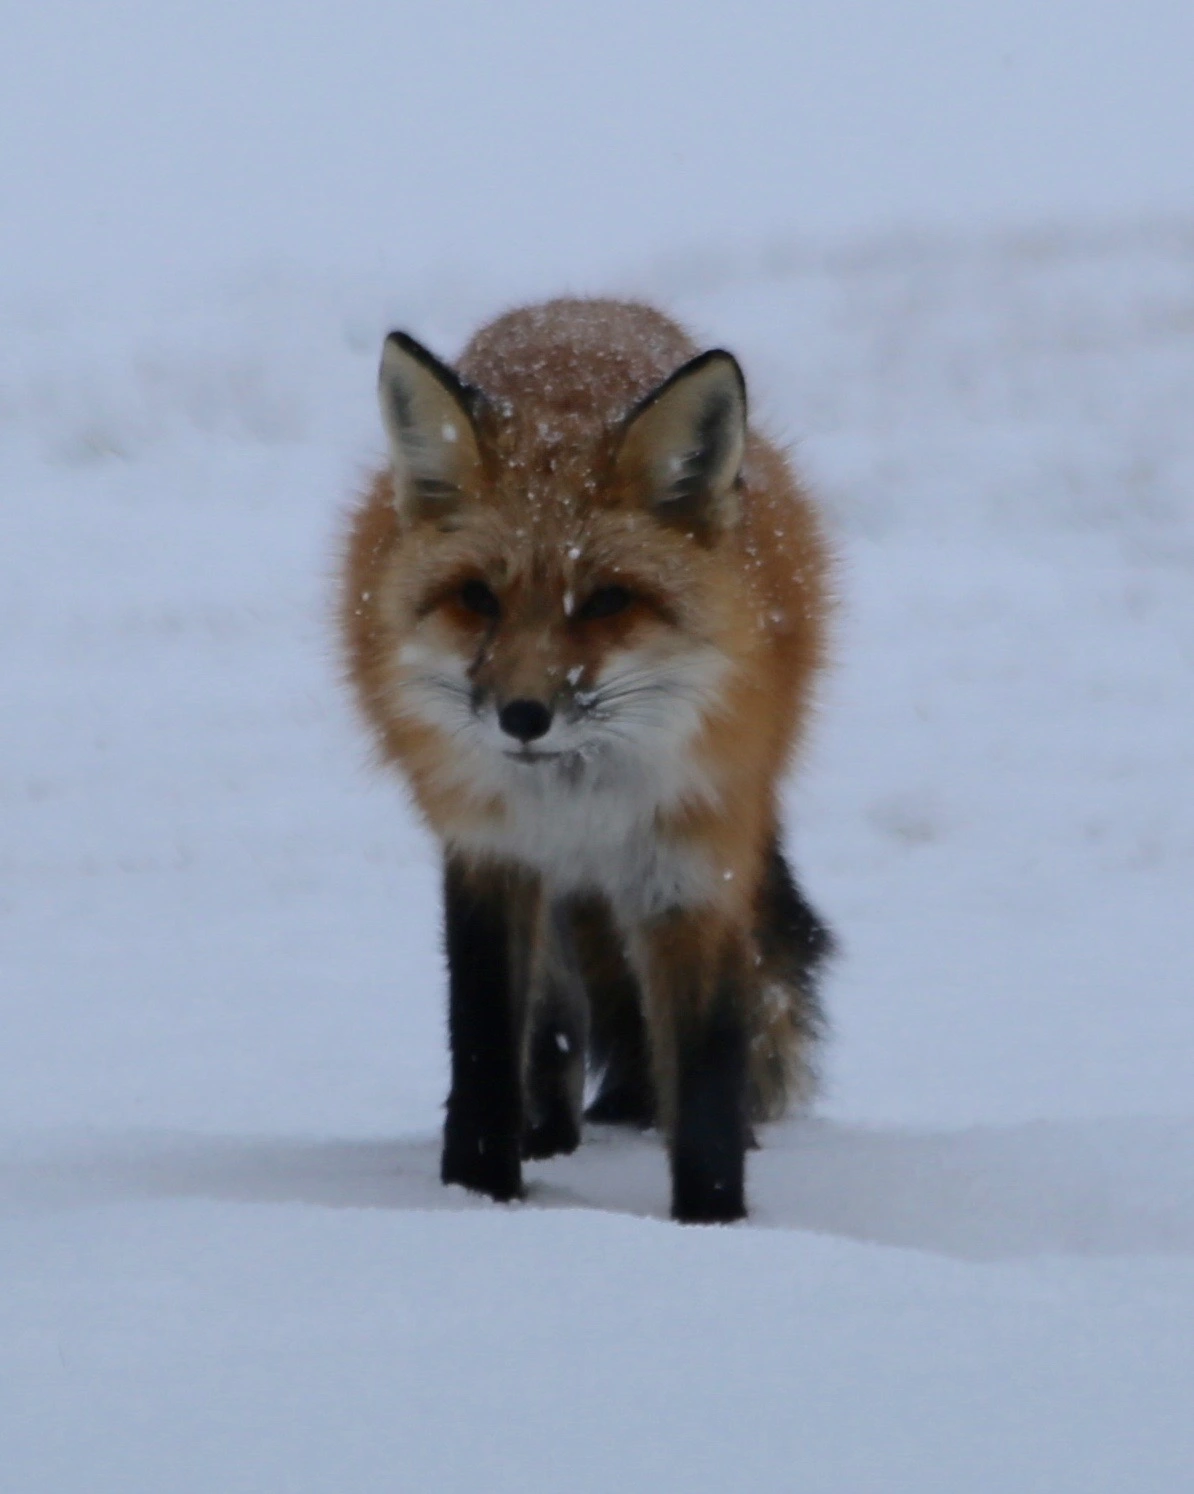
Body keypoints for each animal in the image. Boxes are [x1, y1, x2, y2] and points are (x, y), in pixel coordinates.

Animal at [340, 298, 833, 1223]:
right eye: (477, 598)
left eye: (605, 601)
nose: (523, 717)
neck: (582, 795)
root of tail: (577, 306)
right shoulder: (491, 850)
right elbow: (486, 1041)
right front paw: (480, 1194)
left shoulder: (693, 859)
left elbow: (707, 1062)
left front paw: (714, 1220)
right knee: (557, 1015)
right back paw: (548, 1134)